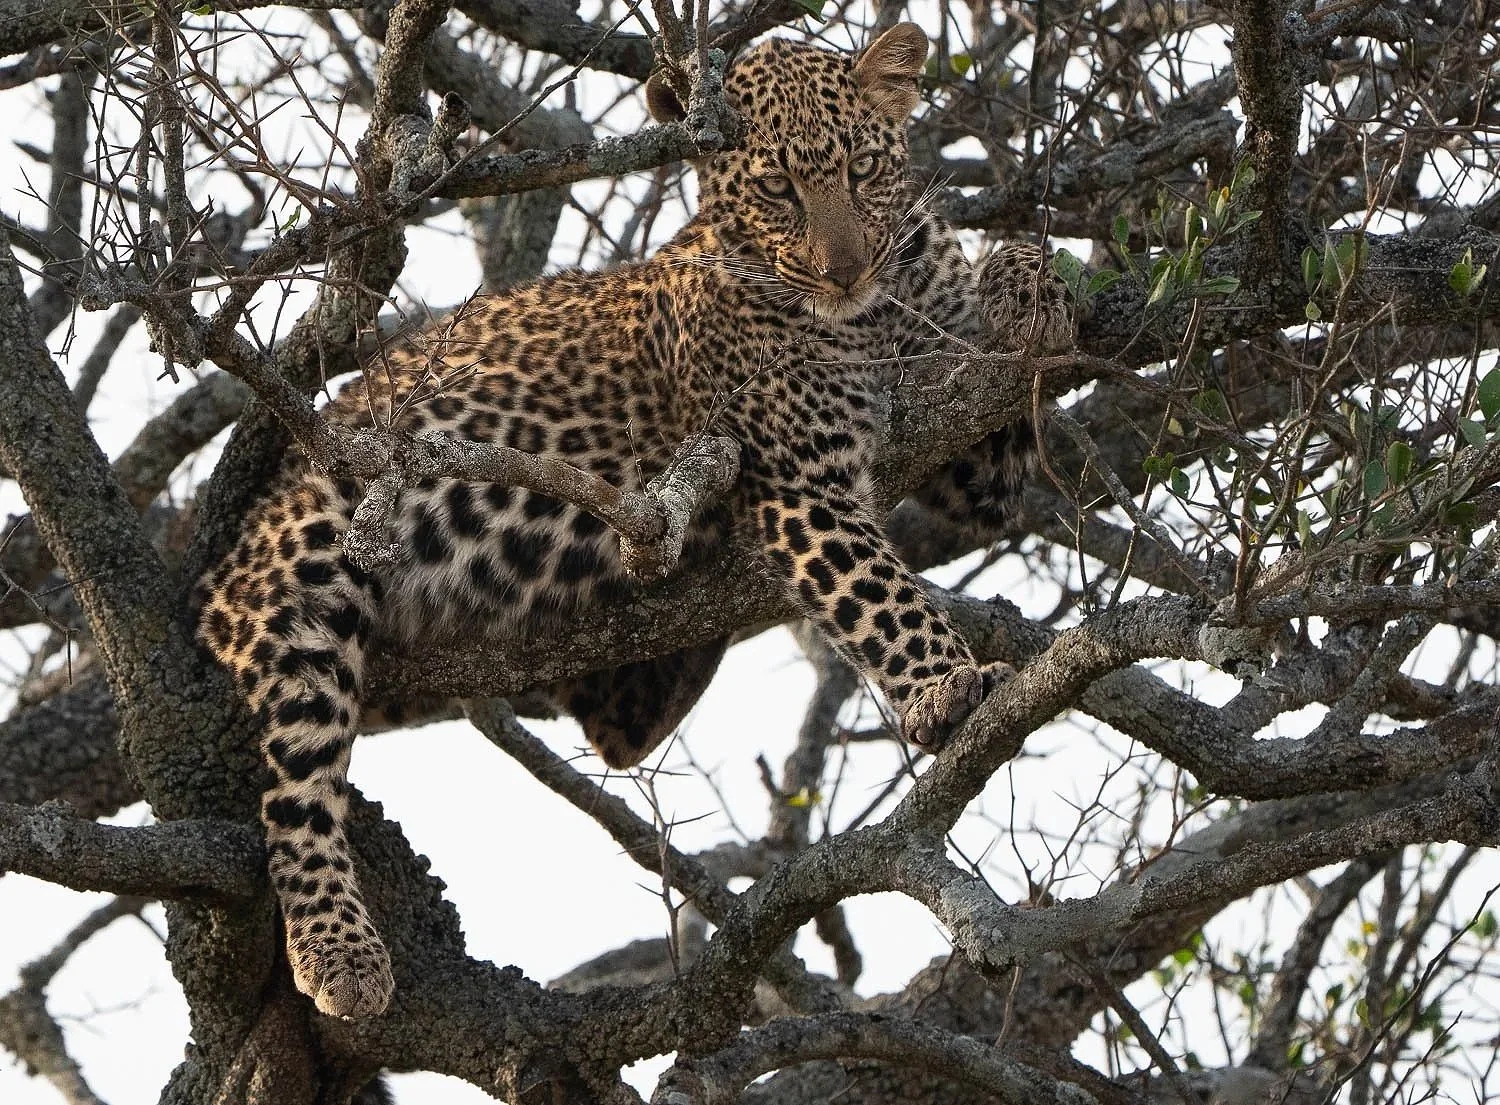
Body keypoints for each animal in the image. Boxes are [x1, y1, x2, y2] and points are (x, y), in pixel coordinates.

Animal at [196, 22, 1073, 1021]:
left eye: (862, 168)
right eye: (778, 188)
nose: (845, 269)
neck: (871, 314)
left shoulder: (968, 453)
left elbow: (998, 361)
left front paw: (1031, 285)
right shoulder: (802, 481)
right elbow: (884, 597)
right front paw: (947, 685)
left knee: (617, 726)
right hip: (310, 563)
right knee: (296, 795)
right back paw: (339, 951)